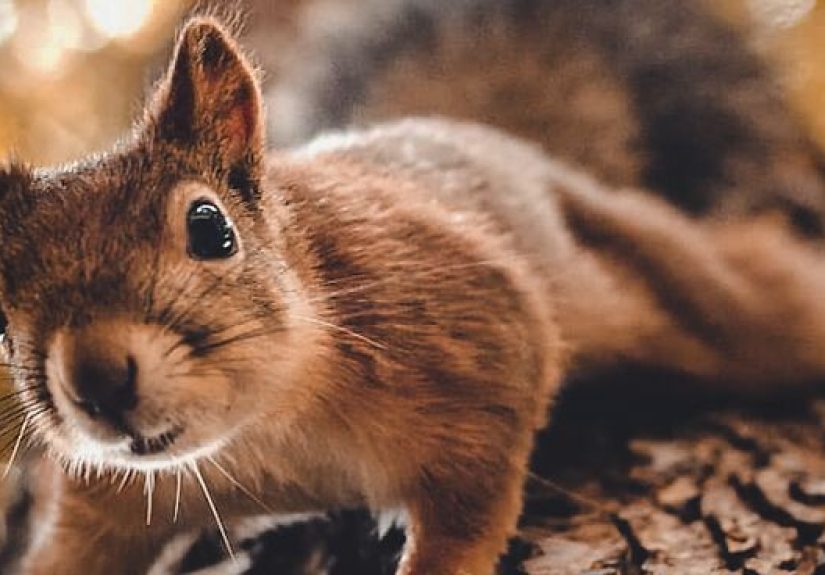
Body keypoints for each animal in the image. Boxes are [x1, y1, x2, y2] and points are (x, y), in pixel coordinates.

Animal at [2, 5, 825, 575]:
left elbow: (471, 501)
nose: (98, 382)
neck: (266, 431)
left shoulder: (475, 337)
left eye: (211, 228)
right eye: (3, 320)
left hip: (693, 288)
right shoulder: (110, 497)